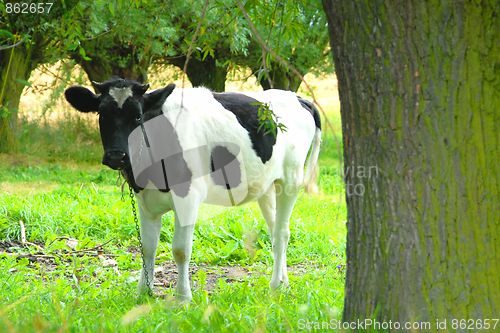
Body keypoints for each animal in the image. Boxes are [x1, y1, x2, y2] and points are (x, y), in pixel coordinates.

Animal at [64, 78, 322, 300]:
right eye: (101, 114)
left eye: (137, 117)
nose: (117, 155)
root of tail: (298, 97)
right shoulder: (144, 200)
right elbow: (147, 247)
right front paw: (143, 292)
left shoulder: (188, 197)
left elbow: (180, 250)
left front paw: (182, 297)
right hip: (266, 186)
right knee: (274, 230)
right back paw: (284, 281)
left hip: (291, 180)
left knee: (282, 232)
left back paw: (276, 285)